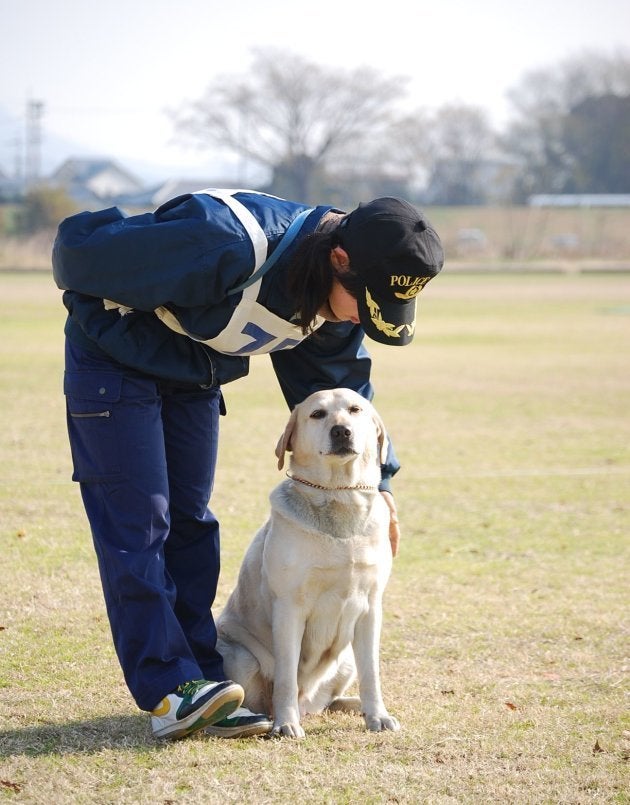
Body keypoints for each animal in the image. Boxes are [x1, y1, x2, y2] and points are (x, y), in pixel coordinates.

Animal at [218, 388, 400, 736]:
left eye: (355, 410)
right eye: (317, 414)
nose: (341, 431)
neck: (341, 495)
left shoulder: (371, 608)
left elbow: (372, 673)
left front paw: (378, 715)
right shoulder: (290, 607)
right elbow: (287, 676)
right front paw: (286, 723)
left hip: (345, 661)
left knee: (331, 700)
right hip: (241, 658)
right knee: (257, 697)